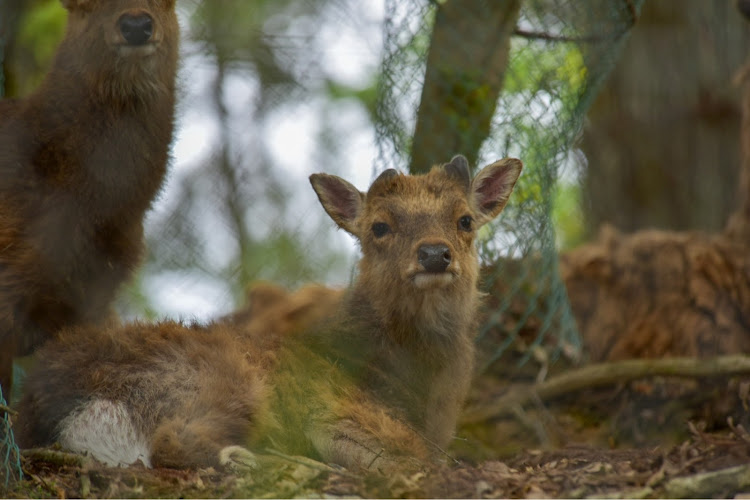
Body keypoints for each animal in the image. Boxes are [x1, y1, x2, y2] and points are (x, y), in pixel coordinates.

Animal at [16, 156, 524, 472]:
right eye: (379, 226)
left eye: (465, 219)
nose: (434, 254)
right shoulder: (346, 413)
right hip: (225, 381)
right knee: (173, 441)